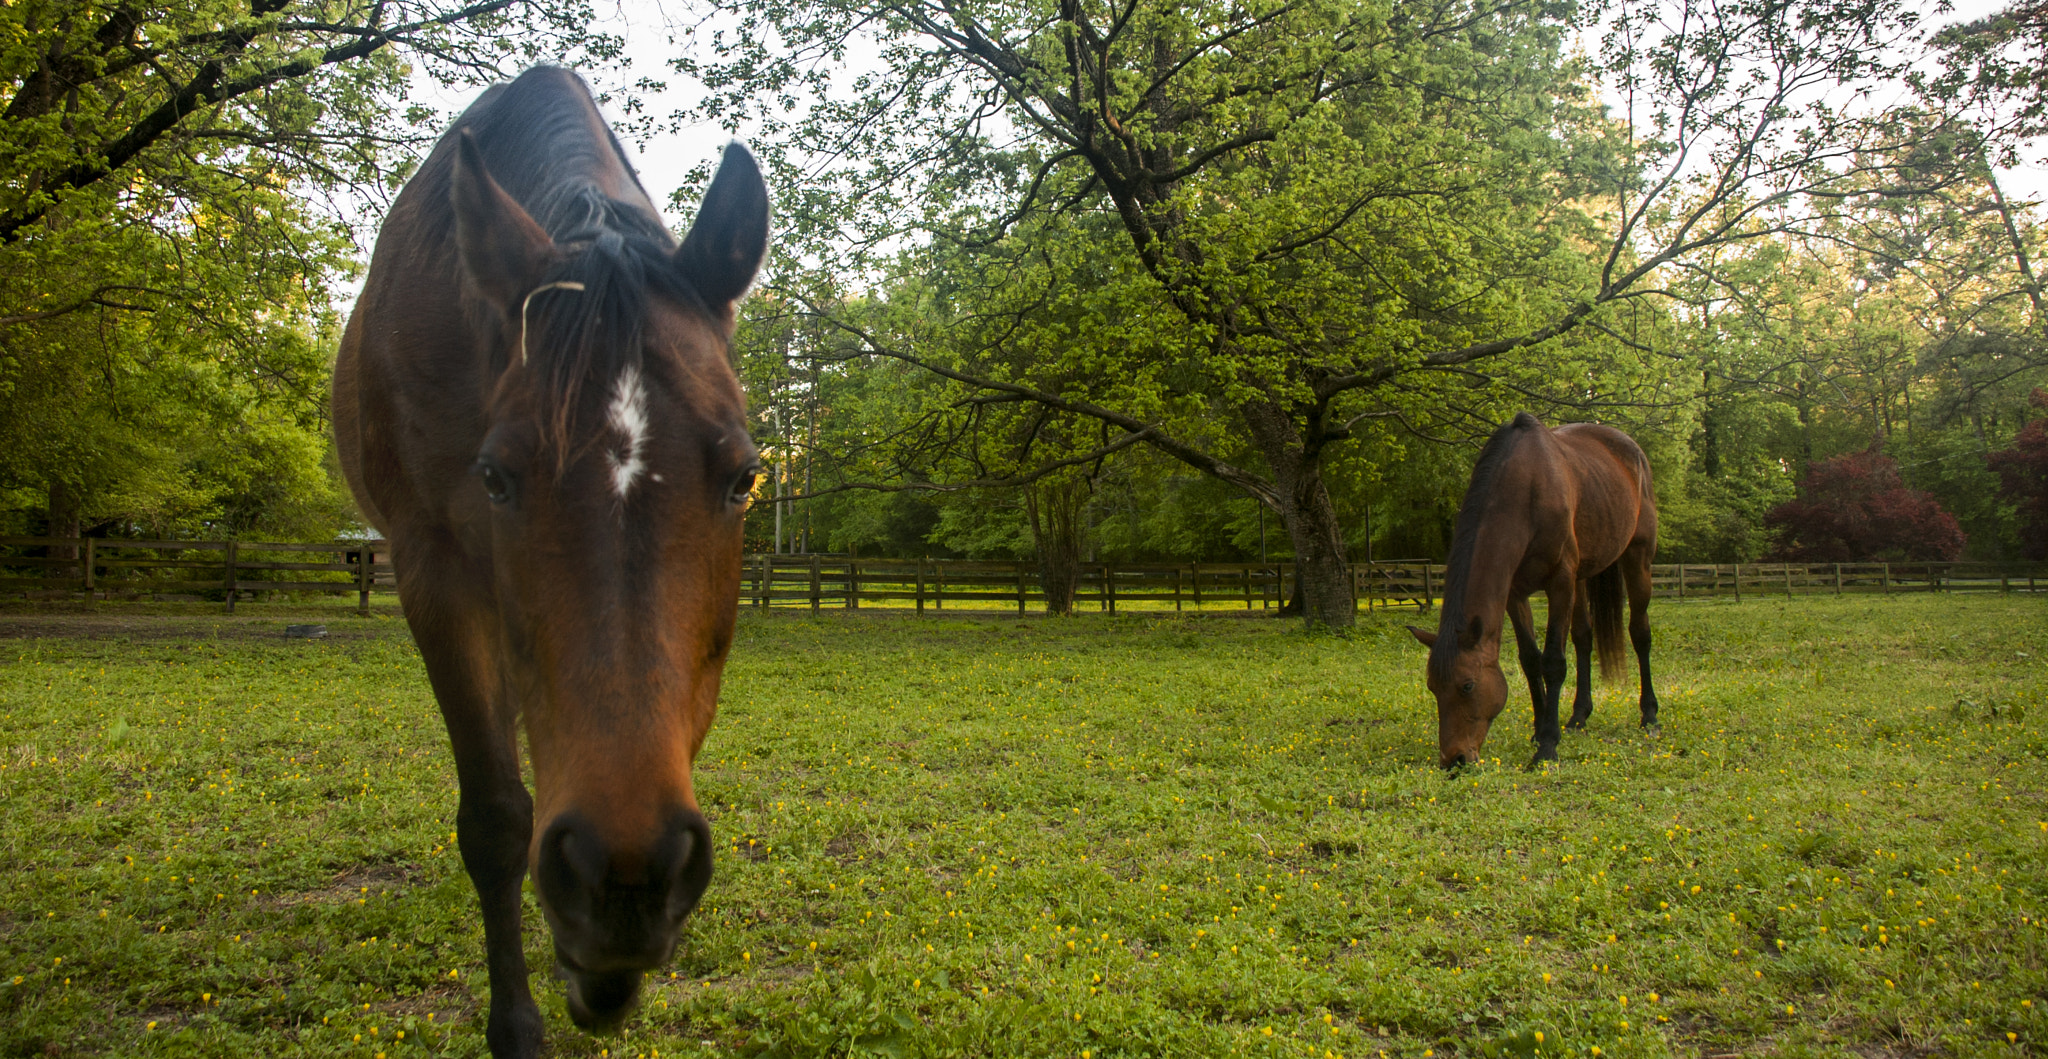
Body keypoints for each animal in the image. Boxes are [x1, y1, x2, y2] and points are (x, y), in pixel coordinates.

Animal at [331, 67, 768, 1058]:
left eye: (744, 477)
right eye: (495, 476)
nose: (622, 874)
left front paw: (601, 965)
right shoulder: (433, 572)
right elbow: (496, 818)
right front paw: (521, 1020)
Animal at [1406, 413, 1660, 769]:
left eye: (1467, 686)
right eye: (1432, 687)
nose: (1453, 760)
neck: (1527, 490)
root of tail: (1632, 450)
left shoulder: (1560, 582)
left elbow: (1553, 661)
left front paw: (1547, 746)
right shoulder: (1515, 593)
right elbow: (1530, 660)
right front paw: (1540, 730)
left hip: (1637, 557)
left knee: (1640, 633)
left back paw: (1649, 716)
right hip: (1583, 576)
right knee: (1584, 638)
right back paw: (1578, 716)